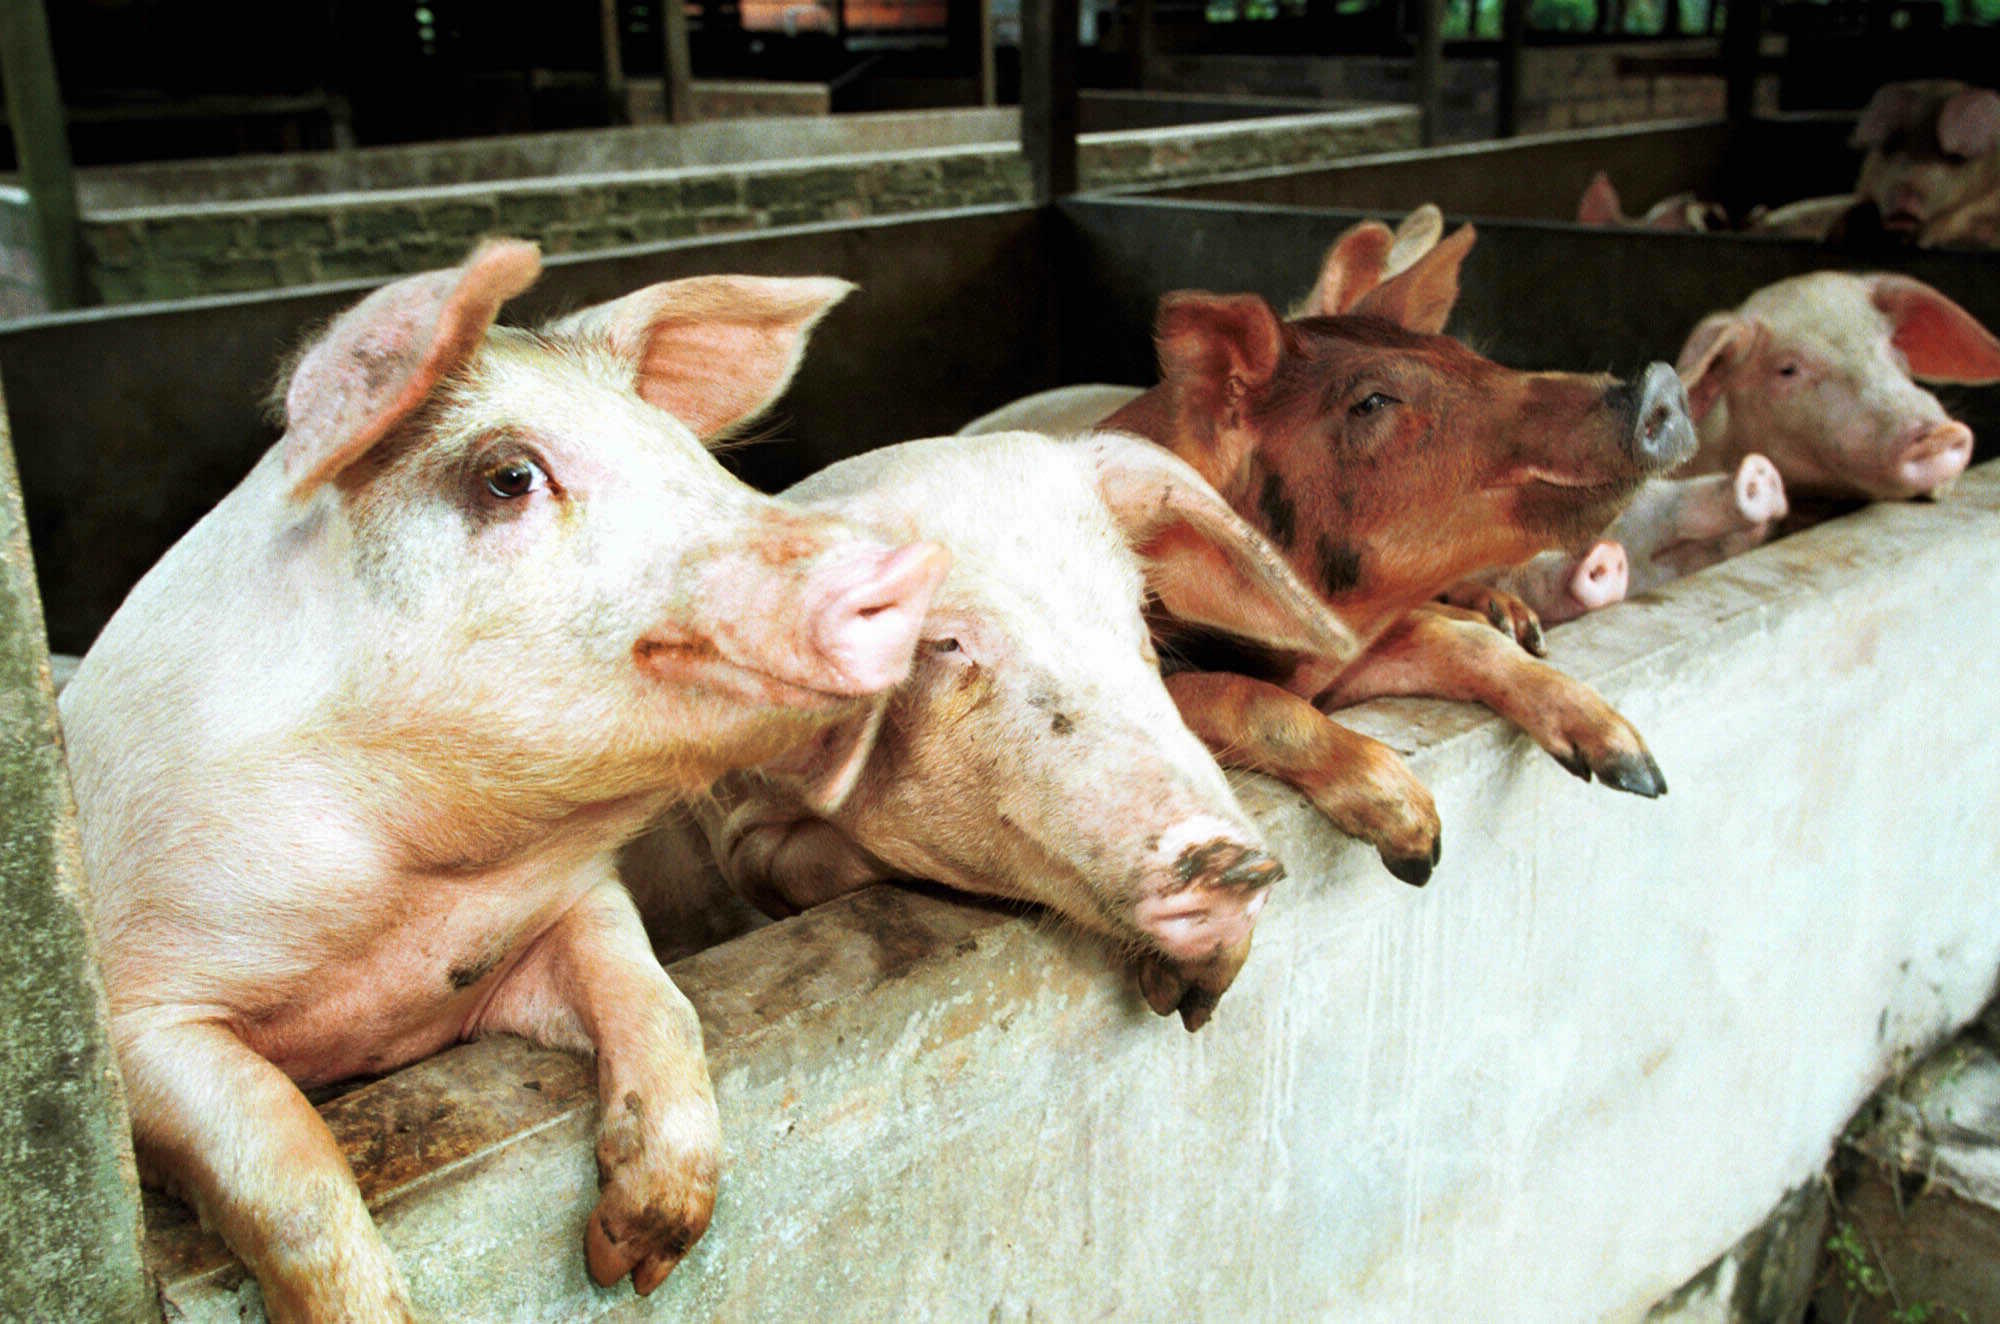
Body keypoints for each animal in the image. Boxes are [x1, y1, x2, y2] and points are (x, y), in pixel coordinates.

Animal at [56, 241, 951, 1319]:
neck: (409, 904)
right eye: (508, 476)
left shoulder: (567, 904)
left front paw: (630, 1257)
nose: (910, 562)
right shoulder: (140, 1018)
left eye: (685, 455)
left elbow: (657, 1000)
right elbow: (288, 1157)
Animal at [966, 217, 1695, 883]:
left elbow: (1466, 646)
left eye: (1467, 355)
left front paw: (1640, 771)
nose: (1659, 383)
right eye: (1372, 401)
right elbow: (1242, 696)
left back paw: (1519, 622)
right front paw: (1418, 843)